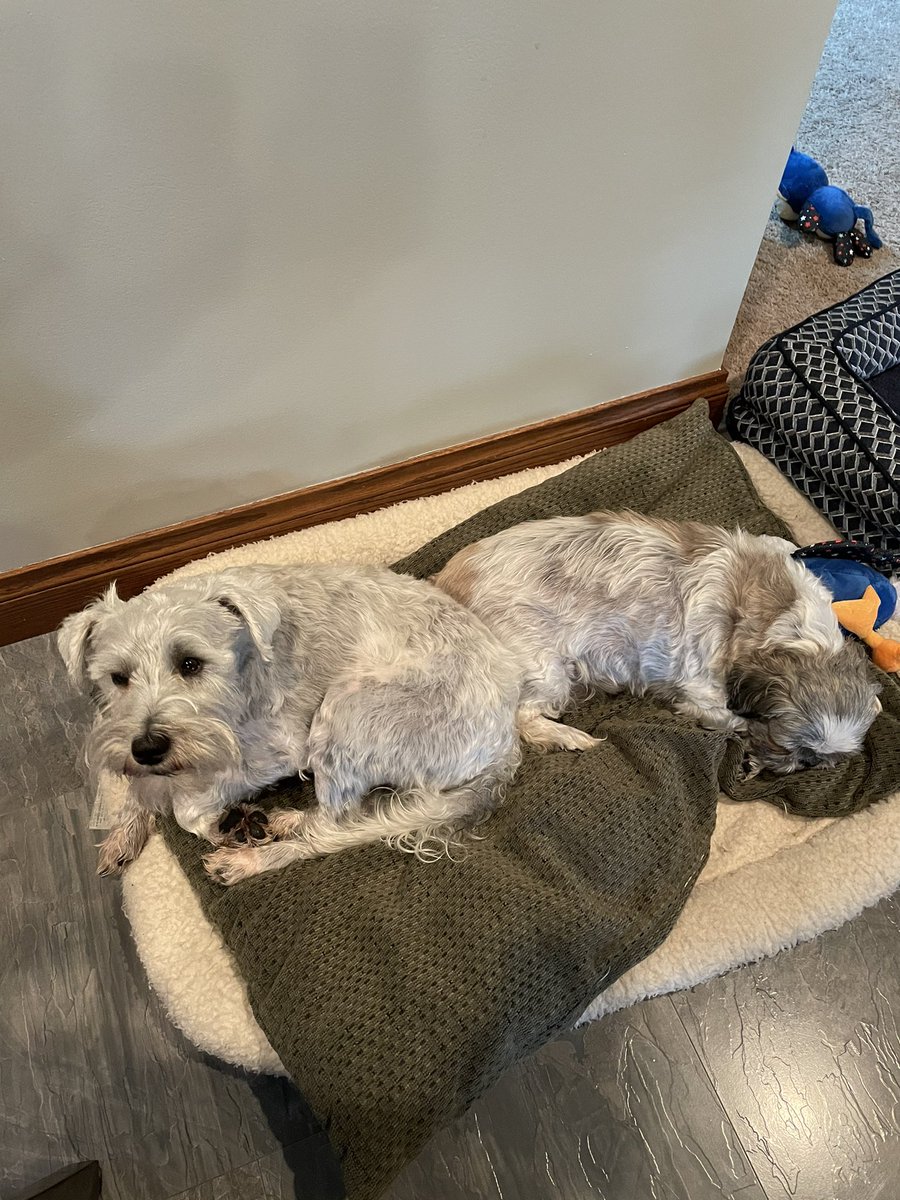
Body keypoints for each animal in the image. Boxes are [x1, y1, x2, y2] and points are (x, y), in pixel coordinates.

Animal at [58, 561, 585, 883]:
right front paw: (124, 832)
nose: (148, 748)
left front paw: (222, 822)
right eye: (117, 678)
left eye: (190, 663)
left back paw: (254, 853)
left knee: (338, 822)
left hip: (345, 713)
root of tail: (504, 742)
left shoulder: (276, 747)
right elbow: (141, 783)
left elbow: (188, 805)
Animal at [434, 508, 883, 772]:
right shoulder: (701, 693)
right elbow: (730, 719)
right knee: (524, 719)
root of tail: (445, 586)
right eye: (781, 740)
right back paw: (570, 739)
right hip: (545, 669)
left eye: (822, 760)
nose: (802, 764)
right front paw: (745, 740)